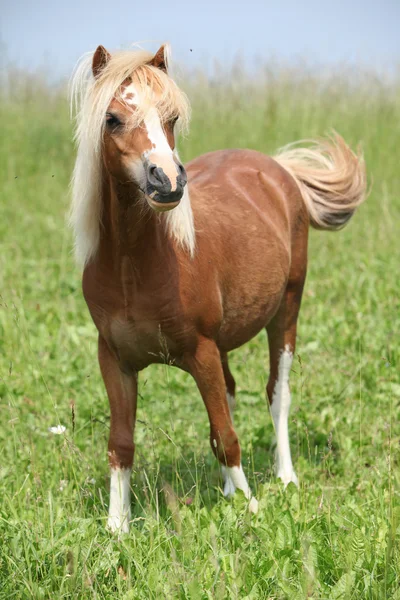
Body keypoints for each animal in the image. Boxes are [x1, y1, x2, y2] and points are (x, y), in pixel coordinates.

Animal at [69, 44, 366, 532]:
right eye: (111, 118)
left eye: (171, 116)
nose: (167, 182)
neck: (134, 268)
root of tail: (278, 170)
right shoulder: (114, 360)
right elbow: (122, 442)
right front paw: (117, 526)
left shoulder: (201, 351)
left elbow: (227, 434)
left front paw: (251, 507)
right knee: (227, 395)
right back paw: (228, 489)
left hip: (286, 310)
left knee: (276, 394)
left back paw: (285, 478)